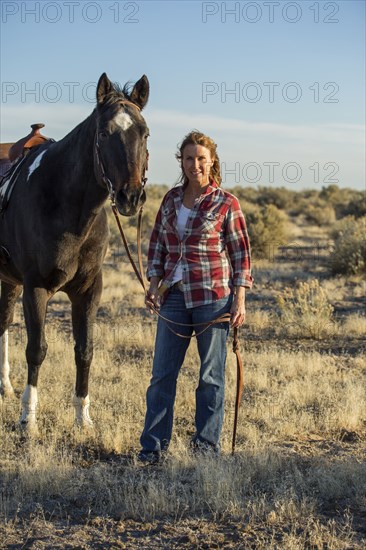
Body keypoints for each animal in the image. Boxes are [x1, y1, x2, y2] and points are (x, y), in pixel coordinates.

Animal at [0, 72, 150, 432]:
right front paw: (28, 418)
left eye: (145, 133)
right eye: (104, 133)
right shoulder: (35, 288)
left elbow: (85, 350)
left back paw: (5, 386)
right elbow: (36, 349)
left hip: (8, 281)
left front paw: (83, 417)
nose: (130, 197)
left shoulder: (89, 289)